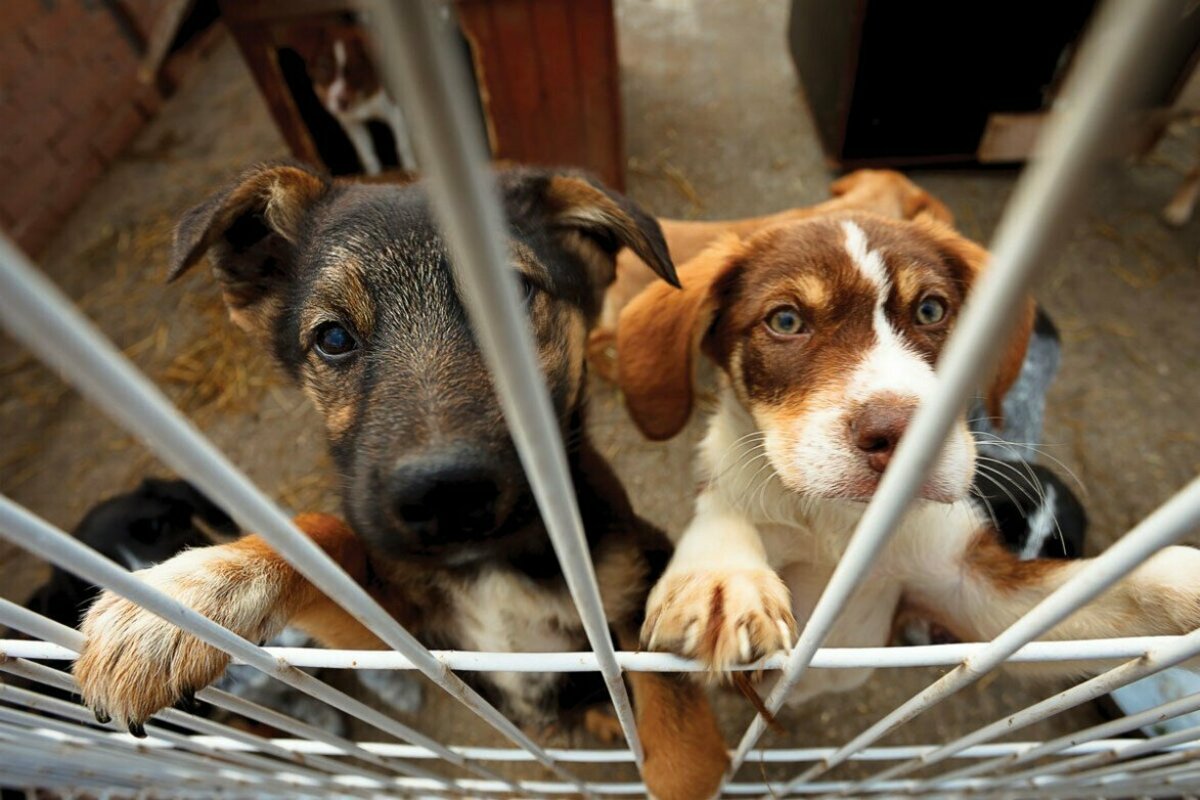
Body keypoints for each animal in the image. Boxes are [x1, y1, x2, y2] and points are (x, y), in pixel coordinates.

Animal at [77, 164, 729, 800]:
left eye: (514, 300)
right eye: (332, 338)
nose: (446, 494)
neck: (490, 566)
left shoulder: (630, 583)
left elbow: (667, 708)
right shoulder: (408, 640)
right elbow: (318, 538)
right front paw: (182, 601)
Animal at [614, 203, 1200, 705]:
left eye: (932, 309)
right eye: (785, 321)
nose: (906, 436)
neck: (840, 526)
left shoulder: (973, 593)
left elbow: (1125, 584)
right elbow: (723, 512)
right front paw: (721, 578)